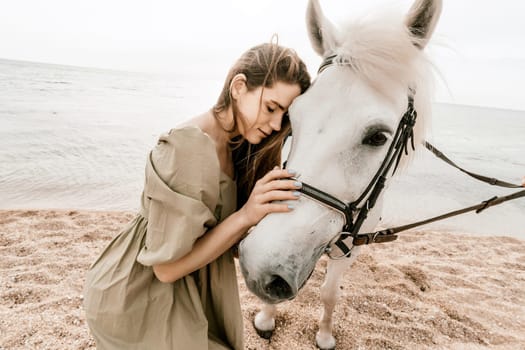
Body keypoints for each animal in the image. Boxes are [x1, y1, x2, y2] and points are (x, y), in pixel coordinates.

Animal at [239, 0, 440, 348]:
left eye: (378, 137)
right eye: (291, 117)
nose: (259, 267)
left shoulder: (349, 250)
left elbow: (330, 293)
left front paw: (324, 335)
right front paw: (265, 319)